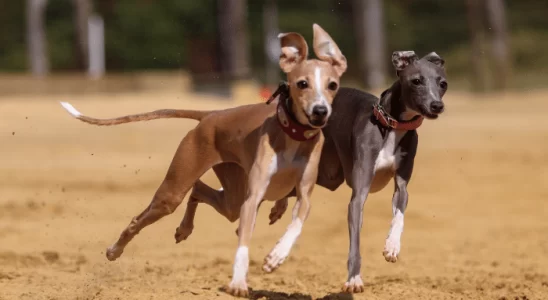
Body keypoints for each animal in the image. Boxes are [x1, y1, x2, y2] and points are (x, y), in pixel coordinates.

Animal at [60, 24, 346, 298]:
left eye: (332, 85)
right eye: (302, 83)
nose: (320, 112)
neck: (292, 133)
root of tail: (211, 115)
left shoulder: (304, 194)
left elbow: (296, 222)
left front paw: (276, 256)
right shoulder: (253, 196)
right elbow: (244, 241)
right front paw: (238, 282)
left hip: (232, 193)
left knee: (200, 190)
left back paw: (186, 228)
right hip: (177, 189)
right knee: (145, 216)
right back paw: (115, 250)